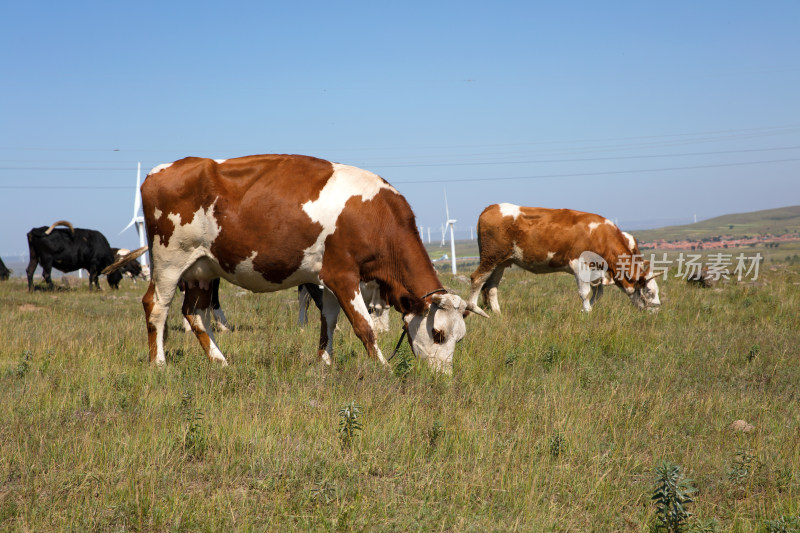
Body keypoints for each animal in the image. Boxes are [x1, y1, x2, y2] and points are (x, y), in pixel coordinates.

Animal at [141, 153, 488, 370]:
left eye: (460, 337)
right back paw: (159, 364)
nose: (442, 377)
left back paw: (220, 362)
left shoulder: (329, 277)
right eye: (439, 333)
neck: (376, 216)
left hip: (201, 269)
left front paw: (325, 361)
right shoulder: (343, 274)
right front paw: (384, 368)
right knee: (156, 306)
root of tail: (161, 170)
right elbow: (364, 326)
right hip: (169, 260)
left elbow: (329, 320)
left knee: (195, 313)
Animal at [466, 203, 660, 312]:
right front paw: (587, 312)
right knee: (477, 279)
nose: (656, 310)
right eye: (649, 291)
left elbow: (598, 293)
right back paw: (475, 309)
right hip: (490, 257)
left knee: (491, 287)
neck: (600, 235)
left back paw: (498, 314)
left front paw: (588, 308)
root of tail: (491, 207)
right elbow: (585, 292)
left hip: (501, 262)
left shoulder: (596, 271)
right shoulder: (580, 265)